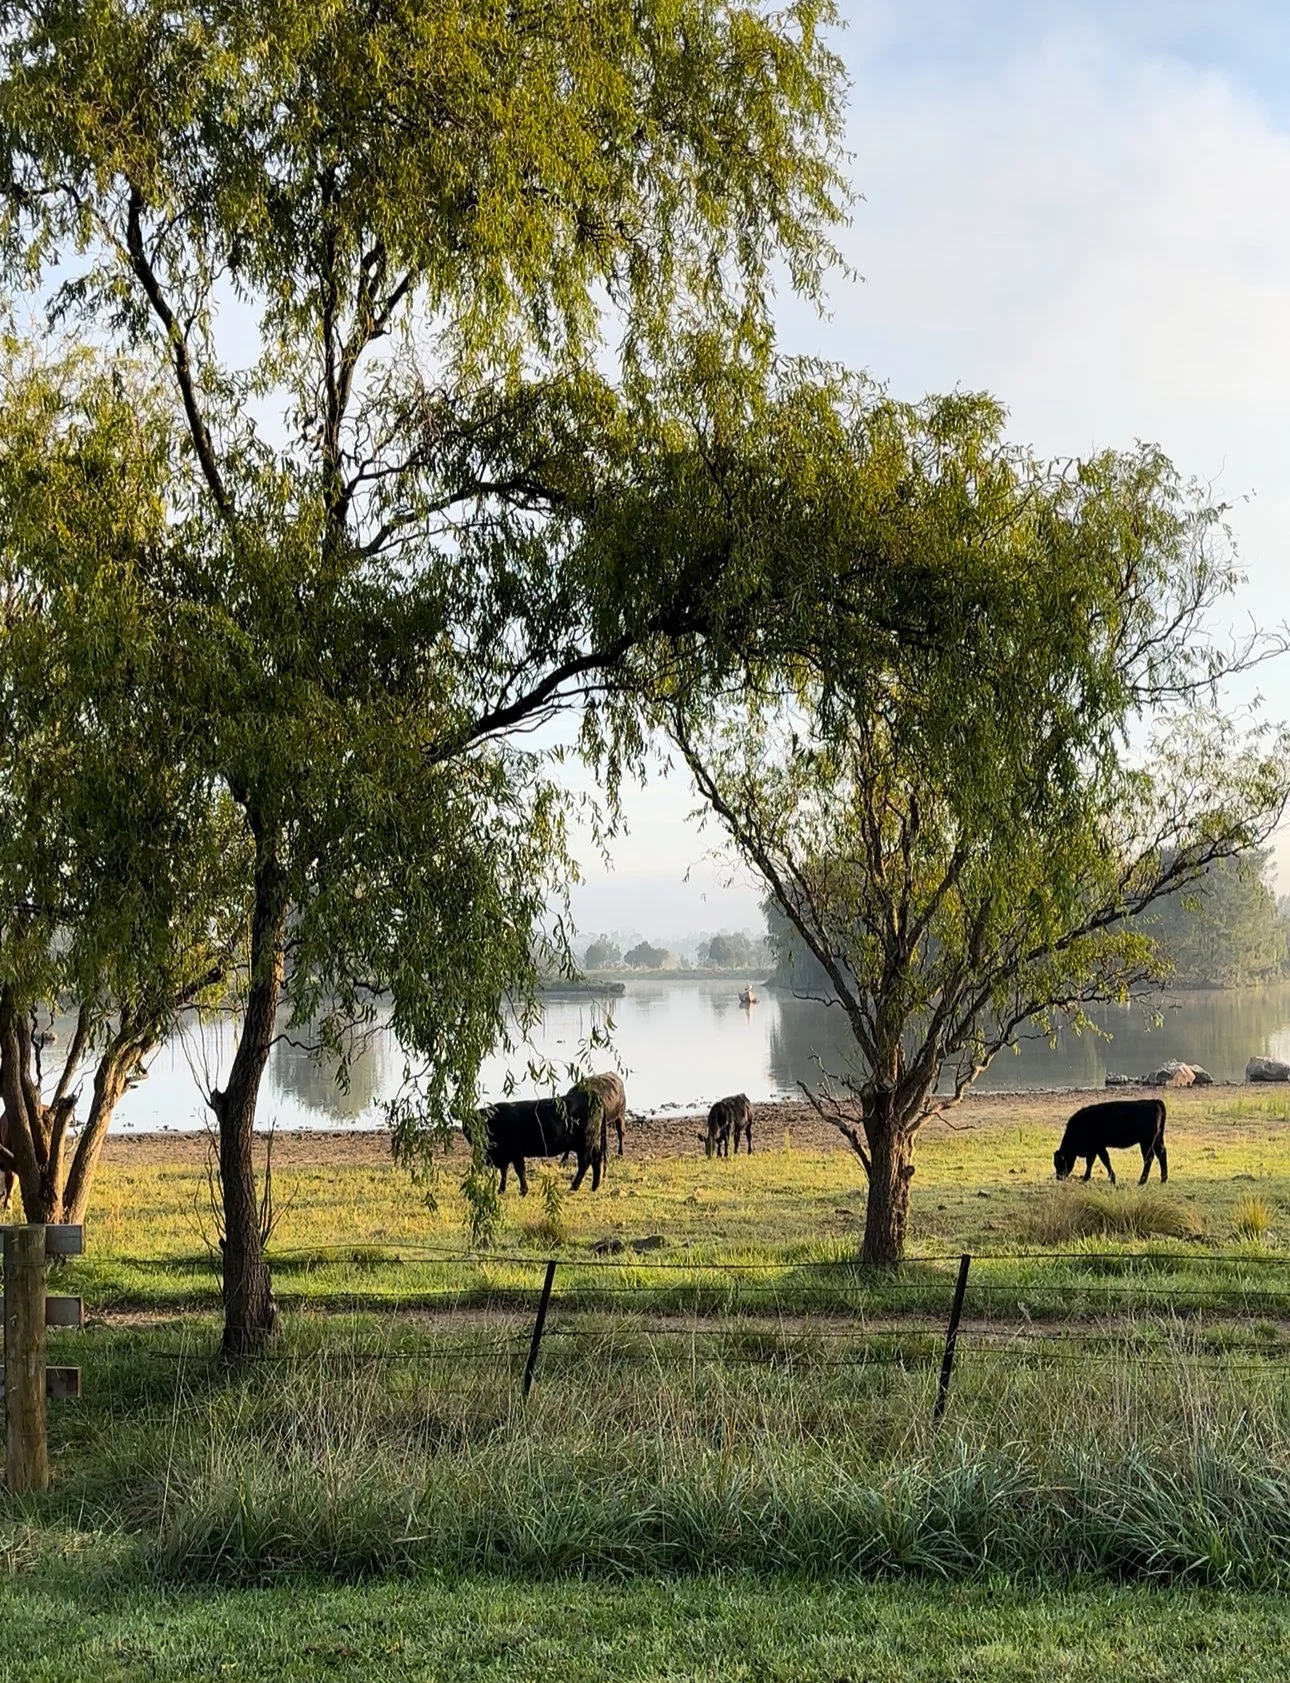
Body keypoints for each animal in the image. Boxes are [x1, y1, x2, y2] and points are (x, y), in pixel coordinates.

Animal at [465, 1088, 608, 1196]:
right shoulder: (505, 1154)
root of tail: (593, 1095)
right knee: (596, 1159)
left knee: (585, 1163)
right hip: (592, 1143)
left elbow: (519, 1170)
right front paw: (501, 1190)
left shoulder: (516, 1151)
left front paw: (523, 1191)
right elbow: (504, 1172)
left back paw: (574, 1186)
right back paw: (594, 1186)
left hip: (584, 1144)